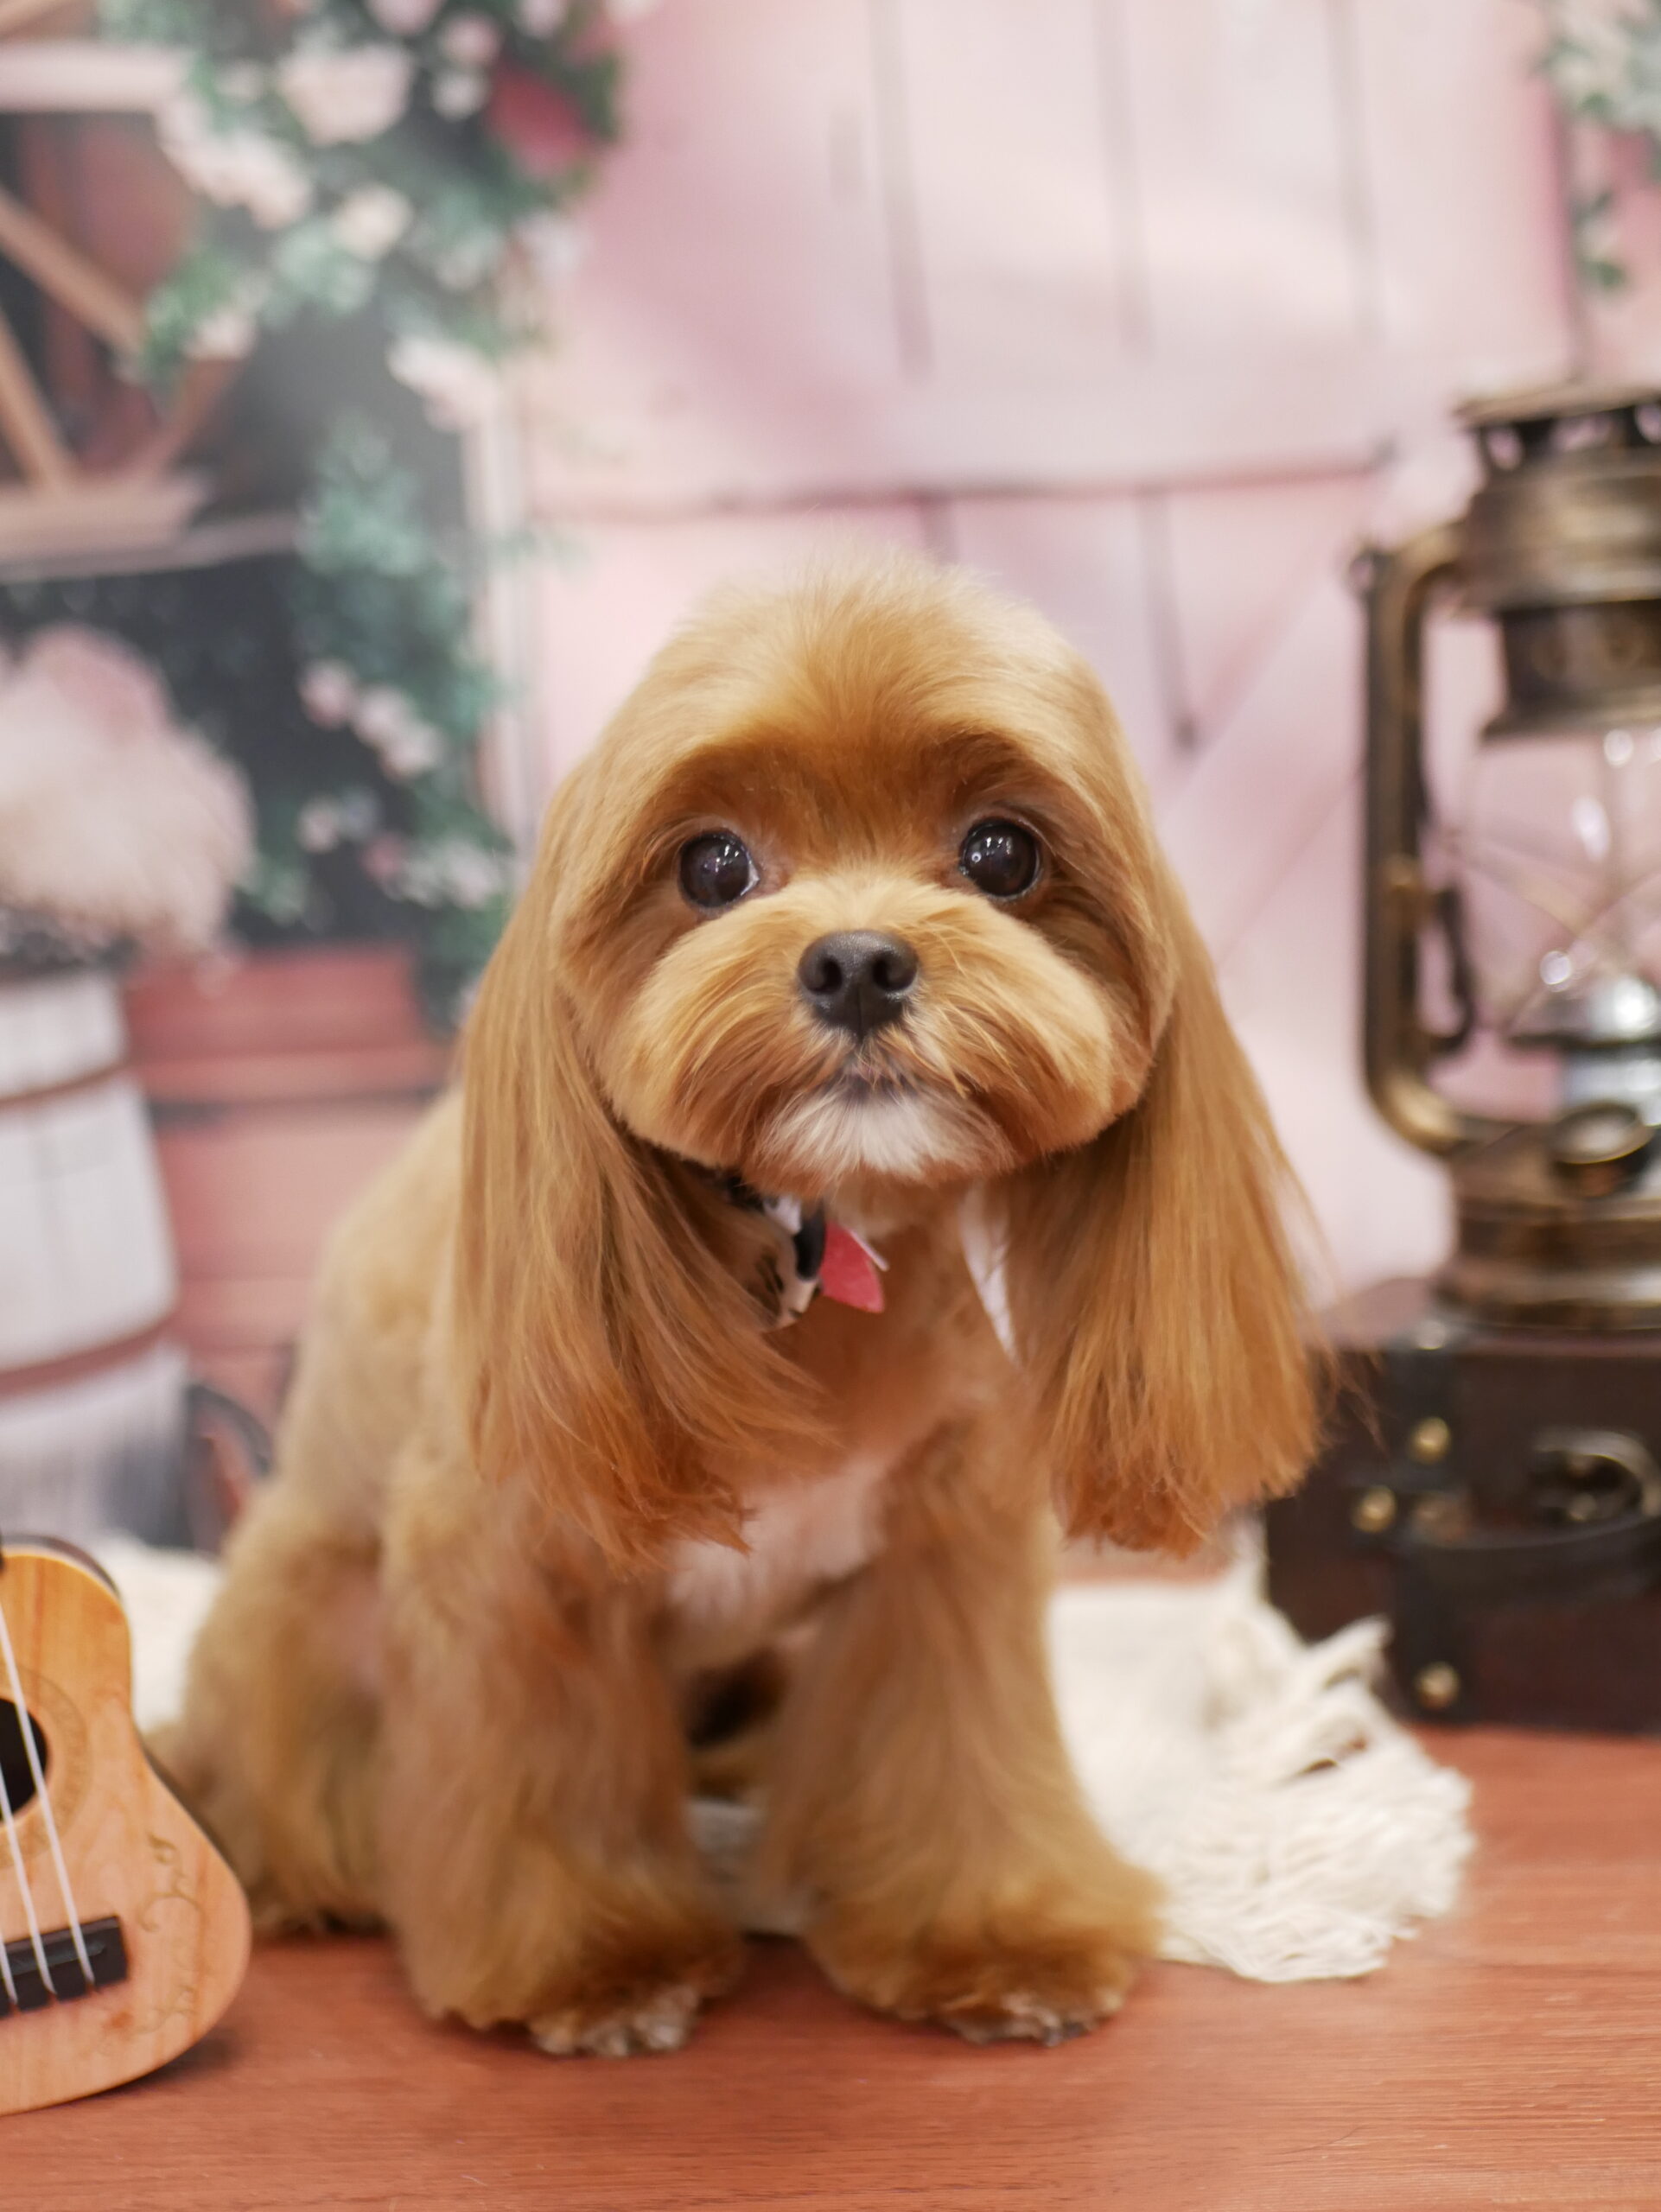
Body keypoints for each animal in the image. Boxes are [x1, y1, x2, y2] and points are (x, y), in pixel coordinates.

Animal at [165, 551, 1315, 2055]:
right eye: (712, 865)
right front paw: (599, 1968)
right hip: (304, 1618)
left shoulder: (939, 1548)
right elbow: (545, 1780)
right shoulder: (510, 1564)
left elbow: (954, 1748)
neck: (806, 1236)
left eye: (1000, 854)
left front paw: (992, 1936)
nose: (858, 961)